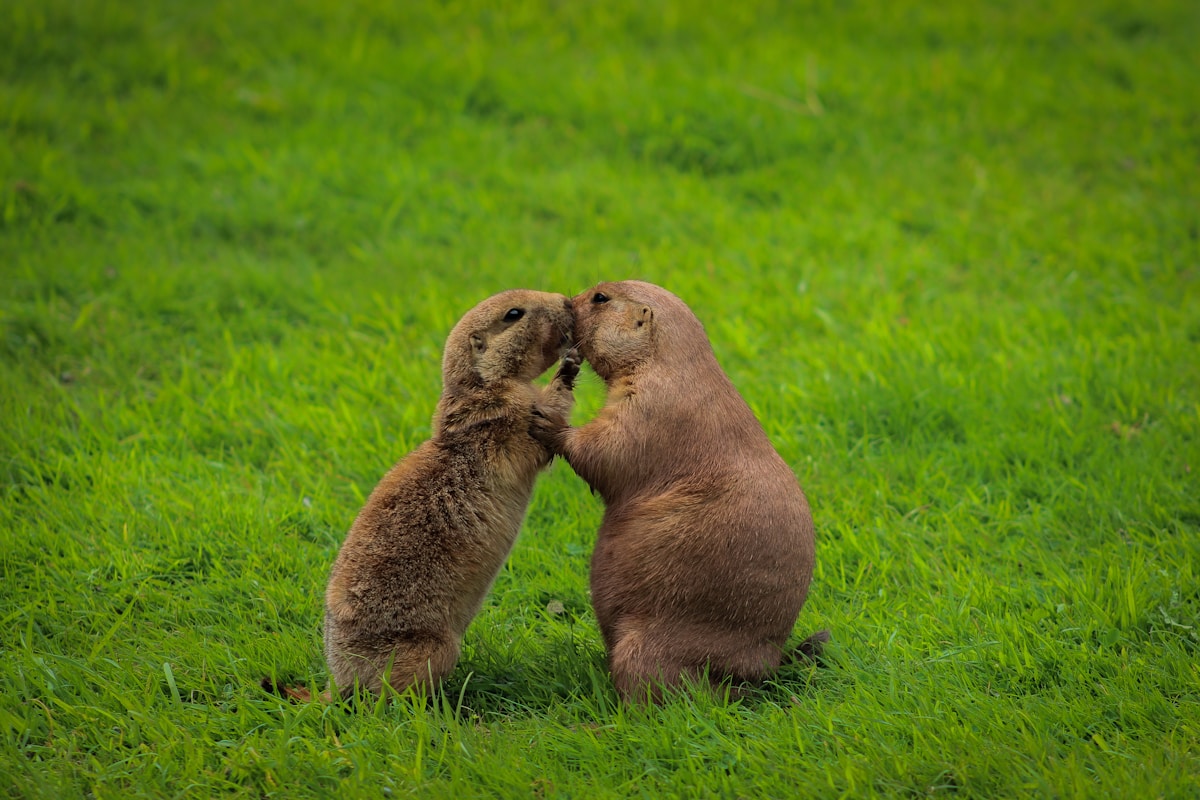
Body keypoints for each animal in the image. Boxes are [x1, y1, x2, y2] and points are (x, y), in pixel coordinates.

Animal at [322, 289, 578, 698]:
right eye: (514, 314)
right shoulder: (505, 421)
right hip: (432, 649)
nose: (567, 301)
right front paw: (568, 368)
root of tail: (338, 682)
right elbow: (537, 430)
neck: (481, 388)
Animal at [533, 280, 821, 702]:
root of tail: (763, 667)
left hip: (648, 647)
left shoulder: (652, 405)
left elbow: (610, 448)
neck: (669, 361)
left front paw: (548, 421)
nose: (567, 302)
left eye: (600, 297)